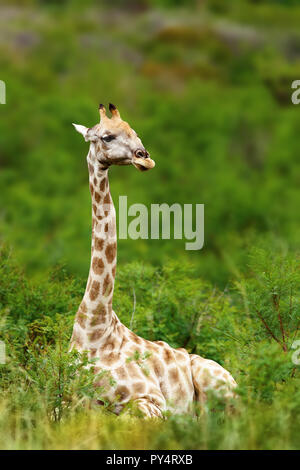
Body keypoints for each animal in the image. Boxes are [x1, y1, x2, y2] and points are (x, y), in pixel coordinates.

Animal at [70, 103, 237, 418]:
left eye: (135, 132)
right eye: (107, 136)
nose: (144, 157)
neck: (94, 331)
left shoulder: (151, 399)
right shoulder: (62, 401)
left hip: (218, 387)